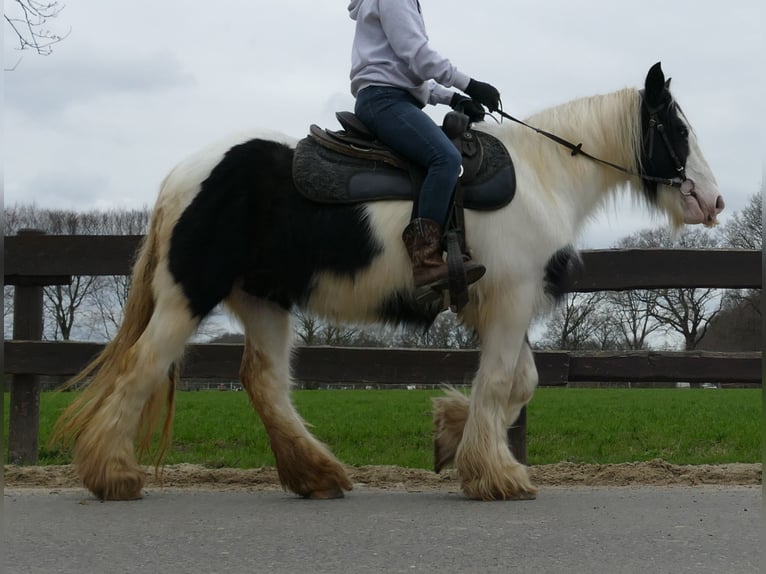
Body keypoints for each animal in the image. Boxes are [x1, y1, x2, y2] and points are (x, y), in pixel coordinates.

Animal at [54, 63, 728, 502]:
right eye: (678, 130)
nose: (714, 201)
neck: (542, 176)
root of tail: (182, 175)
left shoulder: (503, 304)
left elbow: (520, 383)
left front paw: (451, 438)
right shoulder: (510, 299)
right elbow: (501, 382)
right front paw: (495, 475)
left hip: (265, 299)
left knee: (263, 381)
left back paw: (318, 475)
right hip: (189, 294)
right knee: (143, 366)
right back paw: (113, 474)